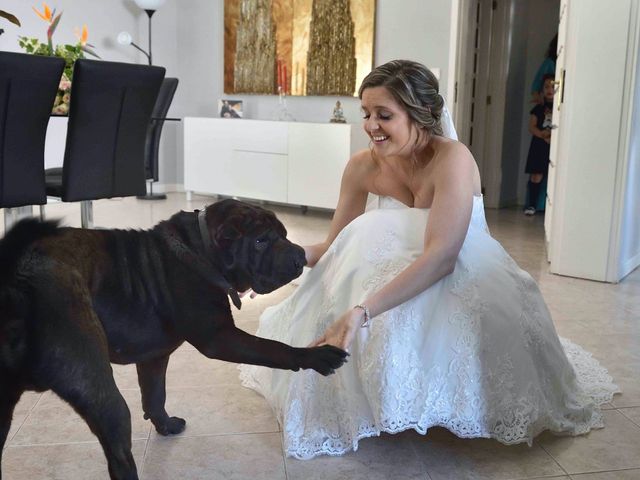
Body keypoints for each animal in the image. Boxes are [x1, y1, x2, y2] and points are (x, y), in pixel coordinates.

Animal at [0, 198, 348, 476]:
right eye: (261, 240)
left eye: (285, 234)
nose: (300, 255)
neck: (201, 250)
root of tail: (17, 277)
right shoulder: (219, 337)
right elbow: (273, 348)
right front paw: (315, 356)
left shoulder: (154, 358)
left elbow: (155, 395)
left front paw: (165, 425)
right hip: (100, 391)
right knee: (119, 455)